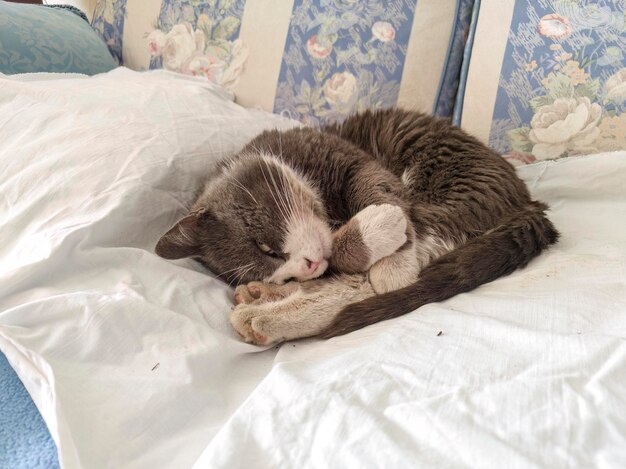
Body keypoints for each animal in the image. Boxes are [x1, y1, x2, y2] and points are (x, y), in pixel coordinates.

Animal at [155, 109, 556, 344]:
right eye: (275, 268)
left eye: (266, 248)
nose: (303, 270)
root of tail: (529, 203)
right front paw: (272, 287)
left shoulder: (351, 161)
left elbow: (378, 197)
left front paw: (382, 237)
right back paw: (262, 303)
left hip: (456, 182)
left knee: (391, 269)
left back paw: (264, 315)